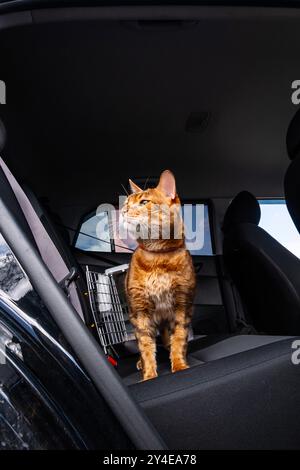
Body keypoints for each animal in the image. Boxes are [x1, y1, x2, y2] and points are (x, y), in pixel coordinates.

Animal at [122, 171, 197, 380]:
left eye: (144, 202)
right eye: (126, 203)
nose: (123, 211)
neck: (158, 258)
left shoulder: (182, 305)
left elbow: (179, 337)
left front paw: (179, 364)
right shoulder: (140, 311)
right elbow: (146, 347)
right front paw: (149, 375)